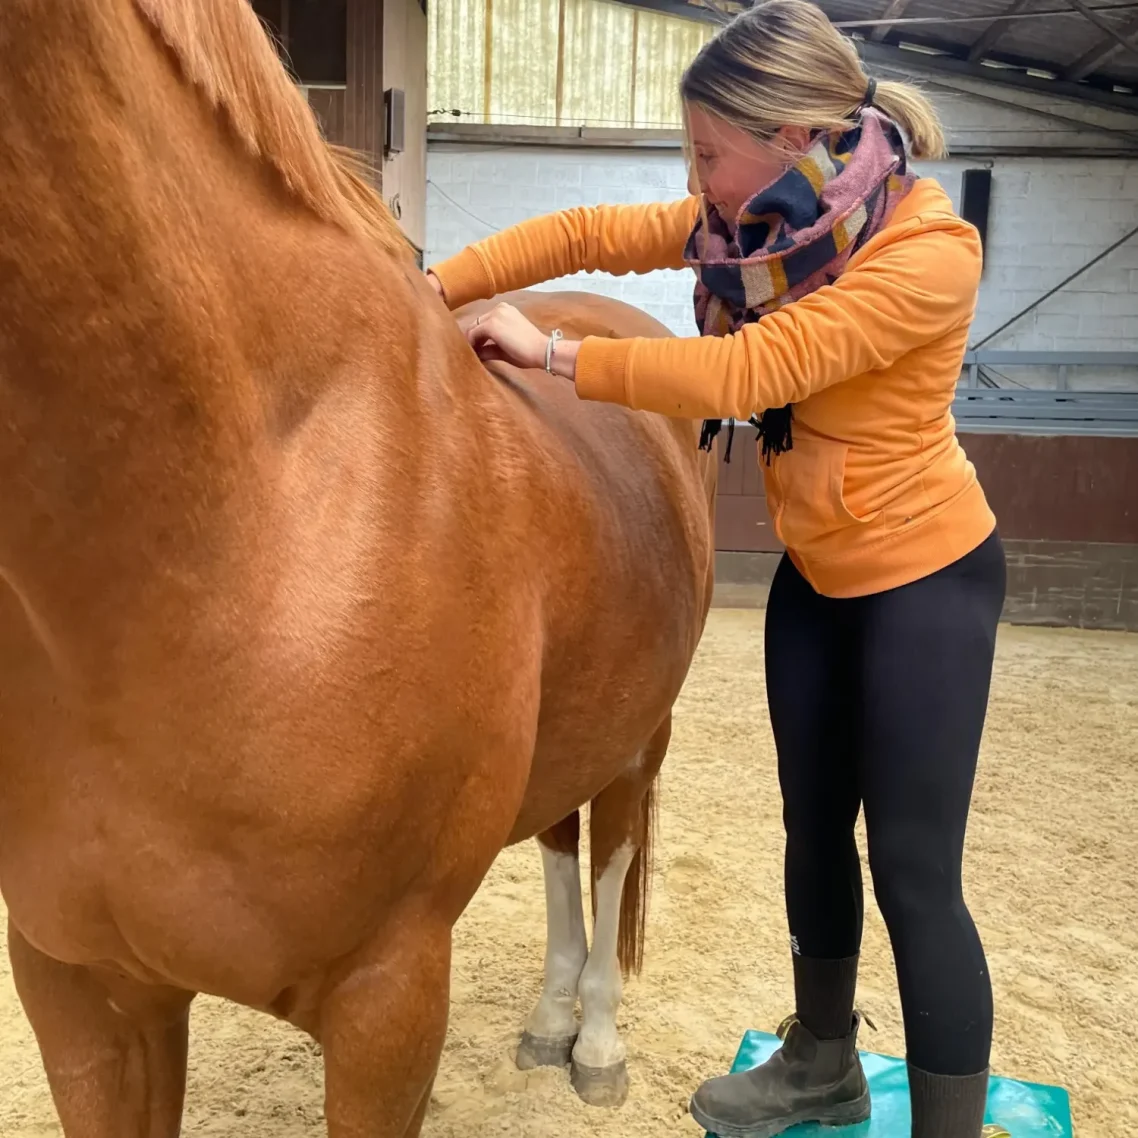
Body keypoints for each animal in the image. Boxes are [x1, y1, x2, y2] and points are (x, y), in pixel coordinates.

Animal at [0, 1, 716, 1135]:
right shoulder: (80, 994)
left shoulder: (390, 998)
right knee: (560, 839)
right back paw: (548, 1021)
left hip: (642, 735)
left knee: (609, 849)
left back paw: (594, 1040)